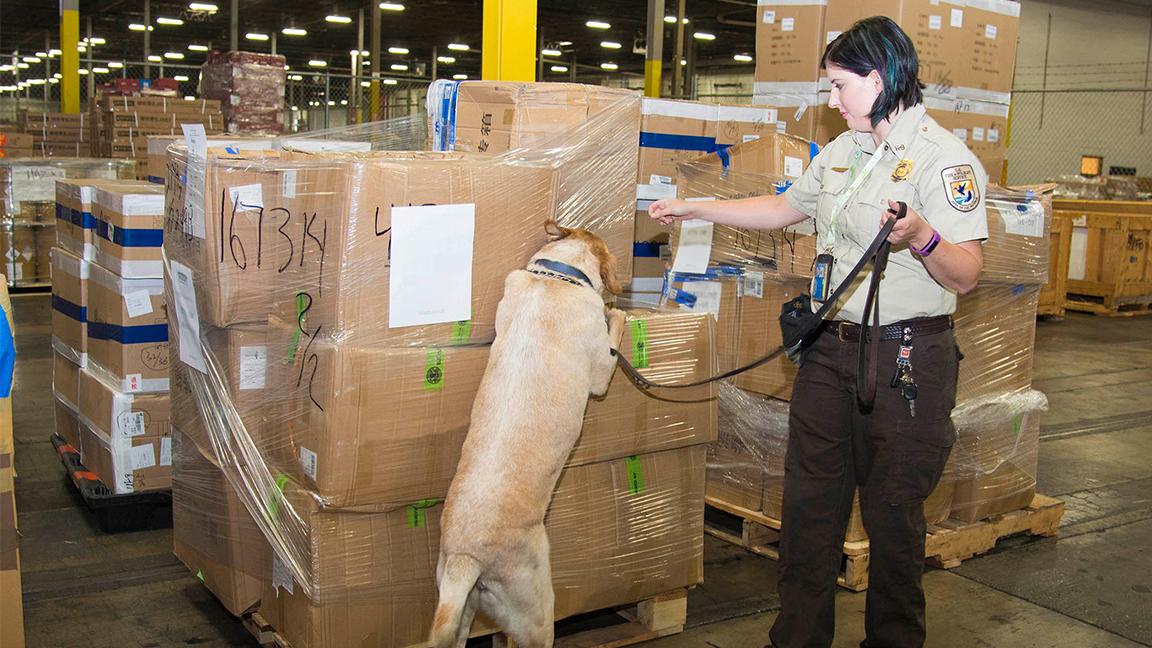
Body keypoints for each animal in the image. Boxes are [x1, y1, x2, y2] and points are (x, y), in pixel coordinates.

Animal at [428, 219, 626, 641]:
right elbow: (612, 335)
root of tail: (466, 559)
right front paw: (615, 311)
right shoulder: (601, 372)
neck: (555, 278)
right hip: (536, 612)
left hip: (461, 611)